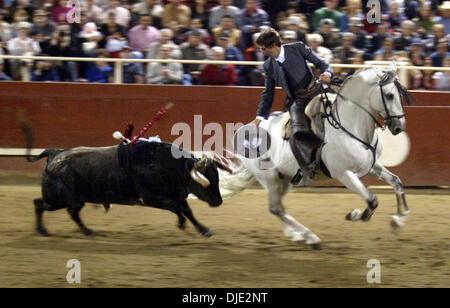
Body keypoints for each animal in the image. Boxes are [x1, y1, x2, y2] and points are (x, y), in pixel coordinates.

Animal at [25, 141, 232, 237]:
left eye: (217, 176)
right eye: (206, 180)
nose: (219, 201)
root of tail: (55, 153)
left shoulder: (174, 196)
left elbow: (186, 210)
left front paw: (199, 228)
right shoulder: (151, 198)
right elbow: (180, 209)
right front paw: (195, 227)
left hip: (73, 200)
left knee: (70, 212)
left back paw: (87, 231)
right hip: (60, 199)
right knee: (39, 204)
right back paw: (43, 230)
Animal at [218, 63, 414, 249]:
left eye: (401, 94)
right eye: (389, 95)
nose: (399, 127)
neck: (350, 125)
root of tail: (246, 129)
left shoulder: (373, 165)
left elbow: (396, 181)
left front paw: (398, 220)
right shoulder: (344, 174)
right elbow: (372, 200)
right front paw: (355, 214)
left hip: (285, 178)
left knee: (278, 208)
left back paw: (297, 235)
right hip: (269, 178)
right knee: (276, 208)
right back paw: (311, 238)